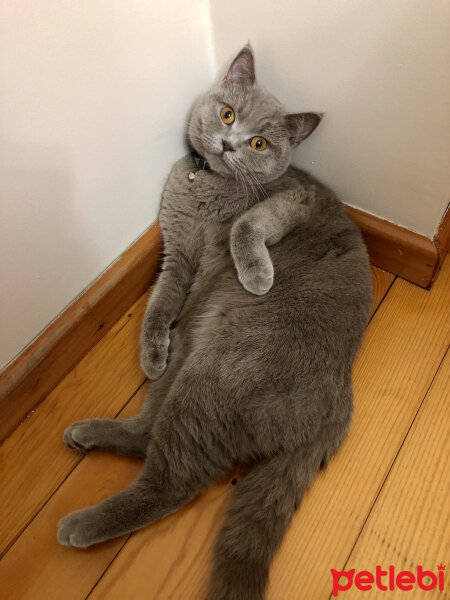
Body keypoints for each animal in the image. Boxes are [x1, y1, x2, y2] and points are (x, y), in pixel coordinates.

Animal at [58, 47, 370, 600]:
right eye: (227, 114)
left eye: (260, 143)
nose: (228, 143)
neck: (205, 188)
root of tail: (338, 405)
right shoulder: (177, 255)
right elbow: (159, 301)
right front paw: (150, 350)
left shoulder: (295, 199)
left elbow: (248, 224)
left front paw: (258, 274)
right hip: (194, 348)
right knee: (147, 431)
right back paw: (89, 432)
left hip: (215, 377)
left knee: (170, 482)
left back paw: (82, 524)